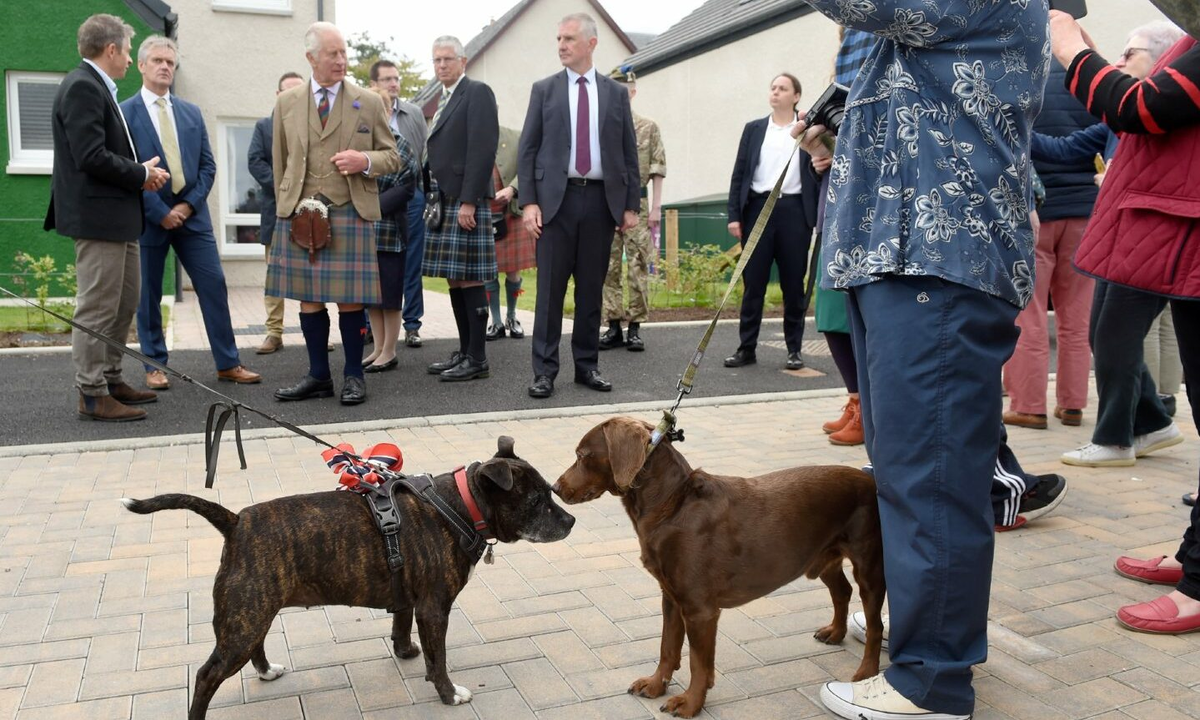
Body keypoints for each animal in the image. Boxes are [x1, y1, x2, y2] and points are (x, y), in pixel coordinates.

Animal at [124, 436, 573, 720]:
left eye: (549, 493)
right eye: (537, 500)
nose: (570, 520)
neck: (460, 505)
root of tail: (235, 522)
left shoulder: (409, 599)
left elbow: (402, 628)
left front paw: (407, 653)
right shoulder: (434, 609)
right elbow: (439, 658)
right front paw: (448, 693)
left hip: (252, 613)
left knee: (255, 646)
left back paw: (267, 671)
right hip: (242, 621)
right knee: (205, 676)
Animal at [549, 420, 883, 715]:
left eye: (582, 455)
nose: (554, 487)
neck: (672, 504)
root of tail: (870, 480)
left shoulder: (700, 610)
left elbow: (698, 663)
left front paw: (689, 704)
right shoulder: (671, 597)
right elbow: (667, 647)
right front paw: (656, 685)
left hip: (870, 565)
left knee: (874, 623)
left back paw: (866, 672)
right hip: (823, 556)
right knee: (842, 591)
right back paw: (836, 632)